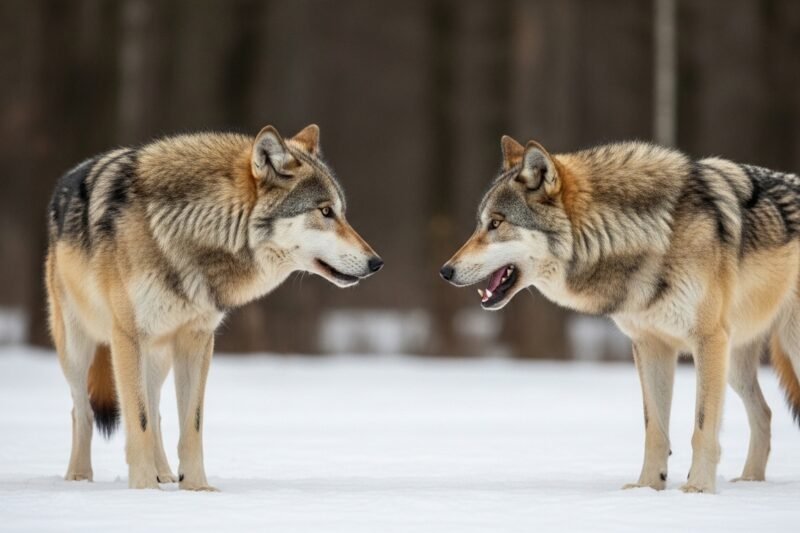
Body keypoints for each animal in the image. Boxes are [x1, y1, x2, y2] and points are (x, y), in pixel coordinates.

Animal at [46, 124, 383, 490]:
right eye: (324, 211)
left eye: (341, 211)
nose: (377, 263)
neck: (191, 231)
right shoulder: (127, 336)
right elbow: (138, 421)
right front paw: (144, 489)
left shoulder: (197, 339)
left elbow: (190, 425)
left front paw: (196, 489)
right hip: (79, 349)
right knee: (83, 410)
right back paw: (80, 476)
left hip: (158, 356)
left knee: (156, 411)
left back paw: (164, 473)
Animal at [440, 135, 800, 493]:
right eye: (480, 224)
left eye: (496, 223)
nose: (445, 271)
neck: (653, 235)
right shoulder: (650, 345)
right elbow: (654, 429)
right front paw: (647, 489)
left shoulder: (708, 341)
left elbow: (702, 428)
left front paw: (697, 490)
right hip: (735, 363)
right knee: (765, 413)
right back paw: (751, 482)